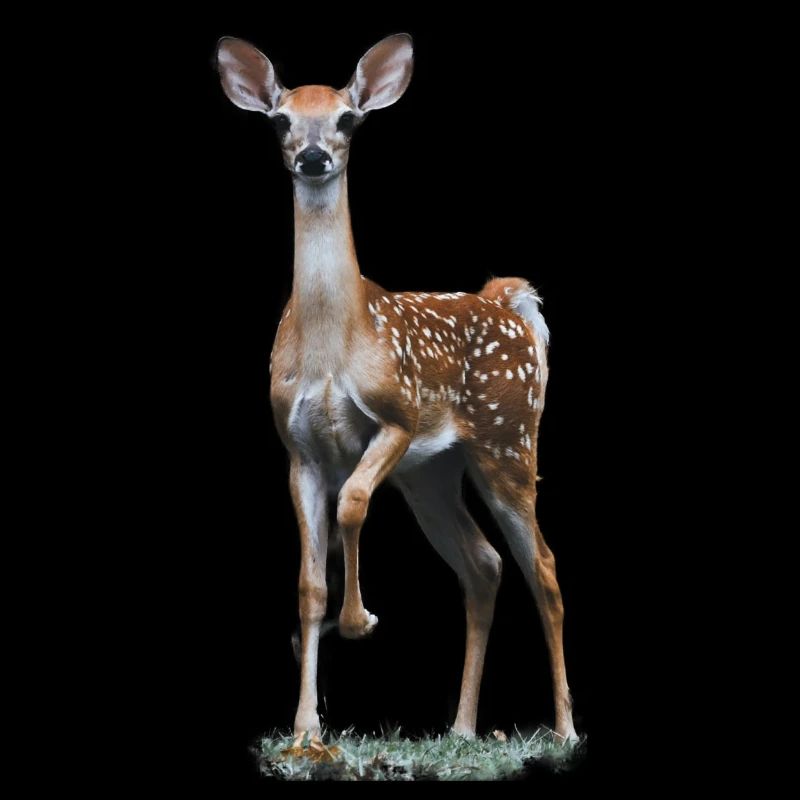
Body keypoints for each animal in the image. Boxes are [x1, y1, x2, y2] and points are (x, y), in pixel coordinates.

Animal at [216, 33, 578, 746]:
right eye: (280, 120)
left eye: (348, 119)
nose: (314, 156)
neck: (334, 346)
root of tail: (508, 302)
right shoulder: (298, 450)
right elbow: (308, 584)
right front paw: (305, 729)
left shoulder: (397, 417)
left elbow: (354, 503)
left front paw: (360, 621)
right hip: (433, 472)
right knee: (483, 564)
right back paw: (461, 730)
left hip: (508, 441)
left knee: (544, 568)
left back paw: (565, 729)